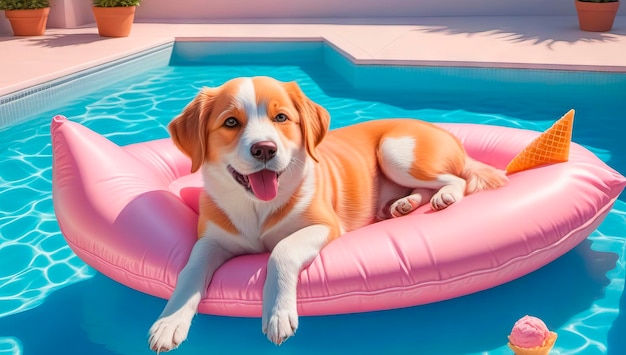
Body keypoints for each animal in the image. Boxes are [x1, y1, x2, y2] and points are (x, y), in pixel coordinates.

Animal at [147, 76, 508, 352]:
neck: (258, 207)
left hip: (395, 152)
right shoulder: (211, 241)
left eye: (281, 118)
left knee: (457, 179)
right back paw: (402, 205)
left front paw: (278, 314)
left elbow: (281, 251)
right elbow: (190, 271)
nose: (265, 149)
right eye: (231, 122)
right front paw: (170, 321)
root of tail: (439, 129)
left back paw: (445, 196)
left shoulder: (324, 225)